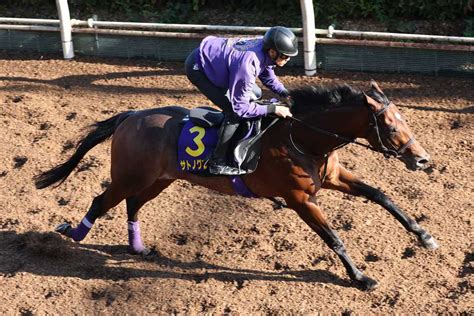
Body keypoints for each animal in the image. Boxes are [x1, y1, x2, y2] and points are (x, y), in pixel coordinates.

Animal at [35, 80, 438, 290]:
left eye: (405, 119)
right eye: (390, 126)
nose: (422, 160)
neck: (303, 137)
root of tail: (130, 116)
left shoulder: (334, 178)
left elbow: (382, 196)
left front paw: (424, 236)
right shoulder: (299, 199)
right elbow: (334, 237)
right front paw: (360, 277)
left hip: (160, 178)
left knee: (132, 204)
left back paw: (139, 248)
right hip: (130, 176)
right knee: (101, 201)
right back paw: (72, 236)